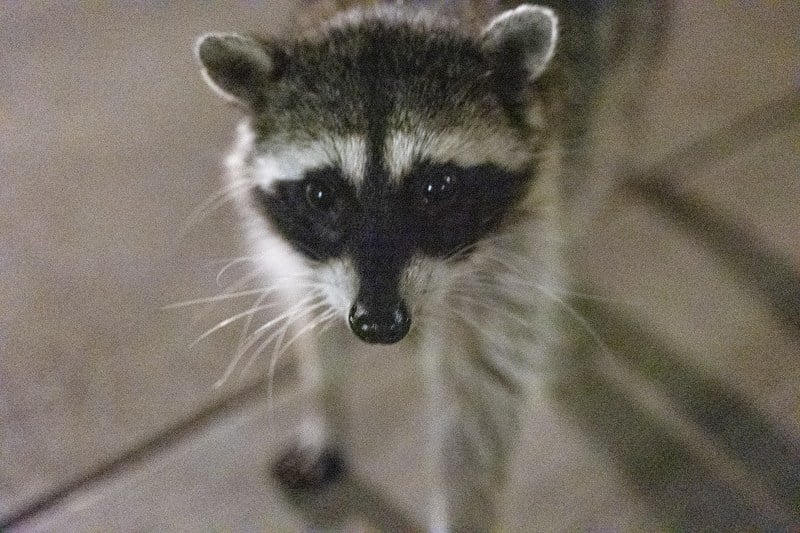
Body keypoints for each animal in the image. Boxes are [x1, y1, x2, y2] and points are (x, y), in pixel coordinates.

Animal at [195, 2, 668, 528]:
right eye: (321, 195)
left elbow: (480, 404)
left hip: (624, 65)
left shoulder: (519, 238)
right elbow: (313, 323)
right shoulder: (305, 256)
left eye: (436, 188)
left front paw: (464, 512)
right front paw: (325, 406)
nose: (378, 323)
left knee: (596, 163)